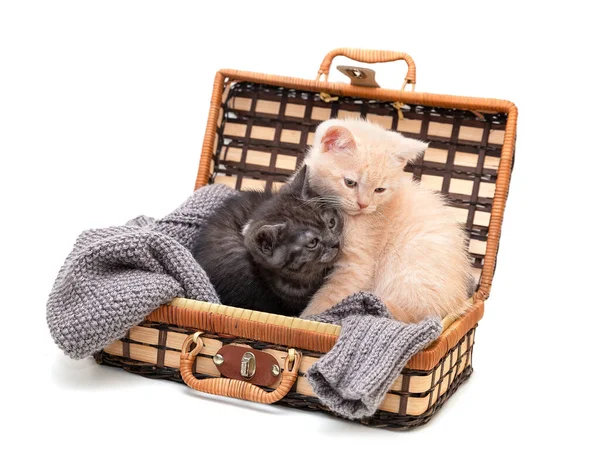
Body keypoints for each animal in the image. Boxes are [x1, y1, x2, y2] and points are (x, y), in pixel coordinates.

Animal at [302, 117, 476, 322]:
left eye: (379, 190)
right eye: (350, 183)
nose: (363, 204)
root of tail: (458, 304)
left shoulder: (357, 265)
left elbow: (328, 300)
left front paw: (308, 317)